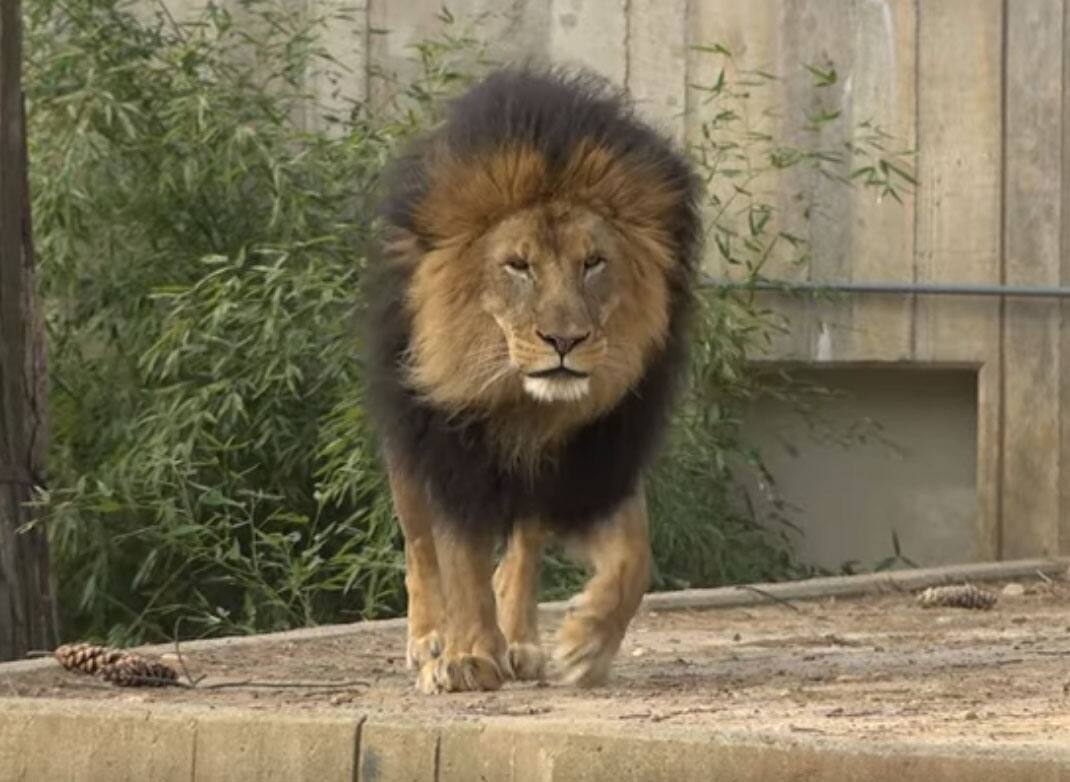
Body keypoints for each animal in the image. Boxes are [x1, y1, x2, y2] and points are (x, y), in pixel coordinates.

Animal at [367, 67, 700, 693]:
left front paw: (587, 644)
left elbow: (634, 557)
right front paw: (468, 656)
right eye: (518, 266)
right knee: (420, 547)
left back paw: (519, 641)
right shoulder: (454, 452)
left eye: (593, 263)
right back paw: (431, 641)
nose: (563, 341)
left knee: (523, 546)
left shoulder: (597, 460)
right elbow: (459, 559)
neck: (527, 406)